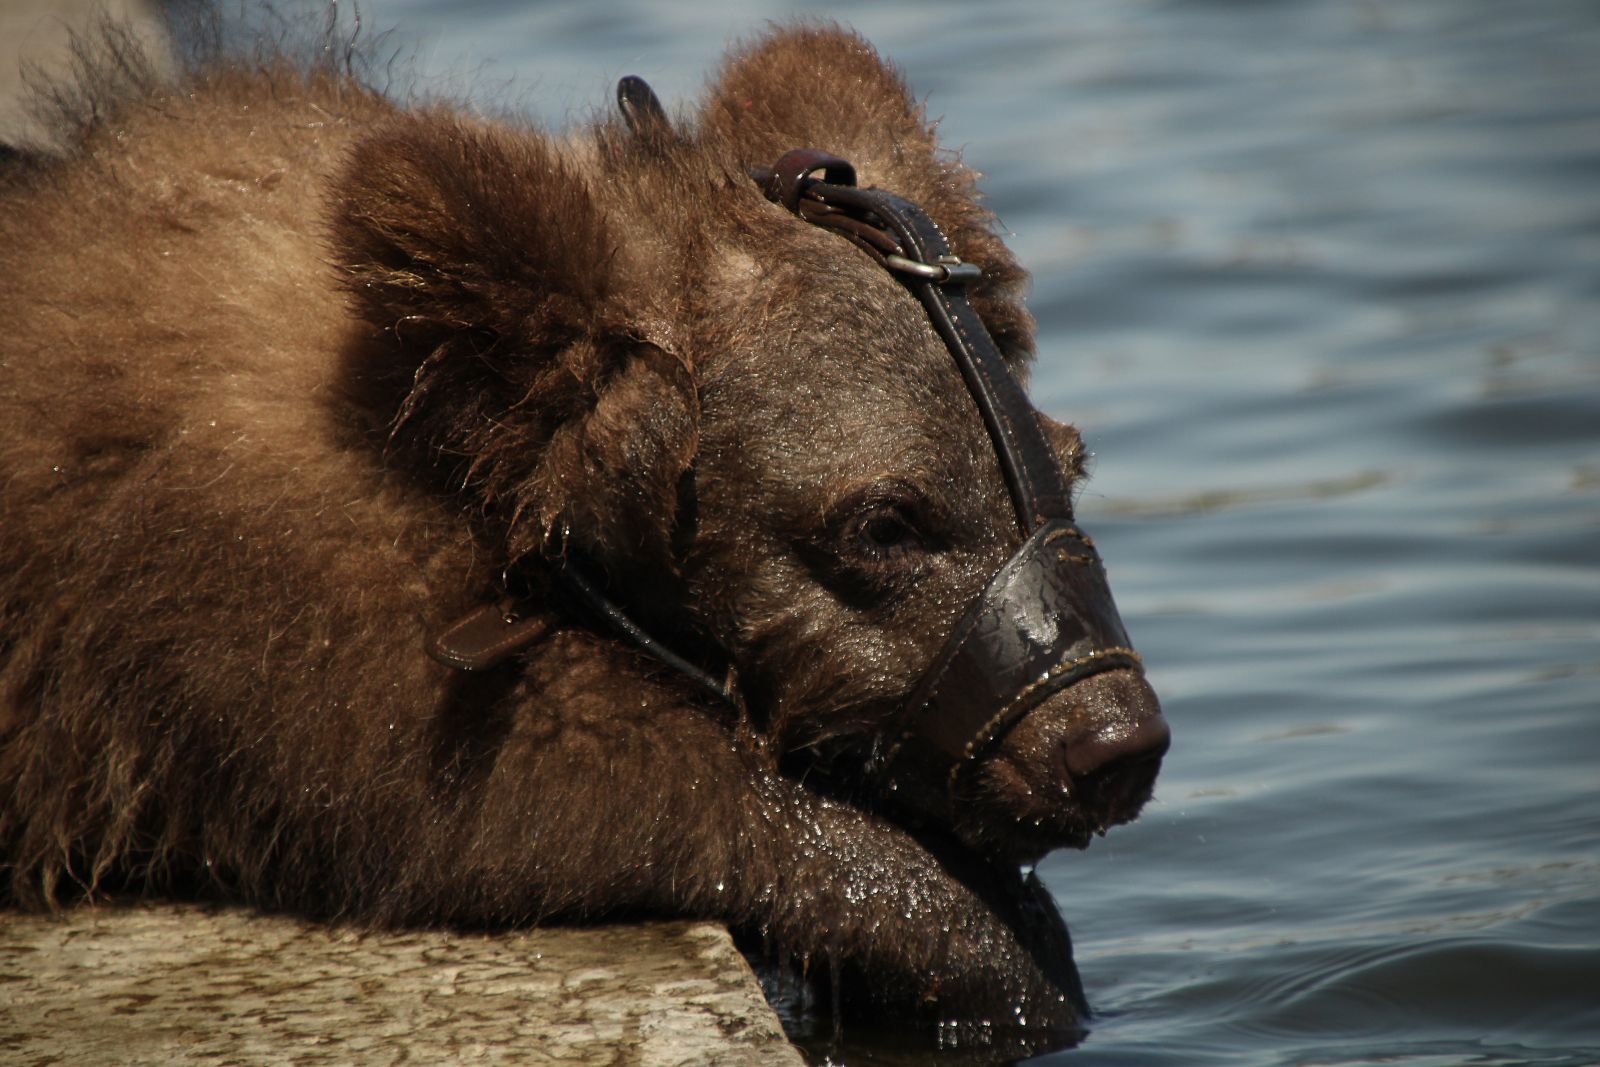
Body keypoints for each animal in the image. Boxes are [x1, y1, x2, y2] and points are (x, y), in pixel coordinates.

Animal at [0, 14, 1171, 1049]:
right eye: (886, 520)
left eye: (1065, 464)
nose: (1110, 740)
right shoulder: (247, 578)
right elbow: (503, 781)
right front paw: (990, 944)